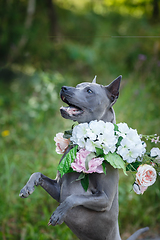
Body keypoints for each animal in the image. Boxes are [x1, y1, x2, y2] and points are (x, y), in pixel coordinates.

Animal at [19, 75, 149, 240]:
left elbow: (73, 198)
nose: (64, 88)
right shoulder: (58, 190)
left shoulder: (105, 199)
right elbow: (38, 174)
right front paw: (27, 187)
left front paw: (58, 214)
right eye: (77, 85)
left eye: (89, 91)